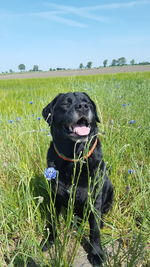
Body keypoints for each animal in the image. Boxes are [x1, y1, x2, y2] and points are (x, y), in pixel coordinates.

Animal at [41, 92, 113, 267]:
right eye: (65, 104)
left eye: (88, 103)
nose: (83, 106)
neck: (74, 160)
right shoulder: (54, 197)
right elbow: (52, 222)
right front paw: (49, 241)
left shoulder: (94, 198)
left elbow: (95, 230)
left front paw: (97, 253)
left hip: (109, 185)